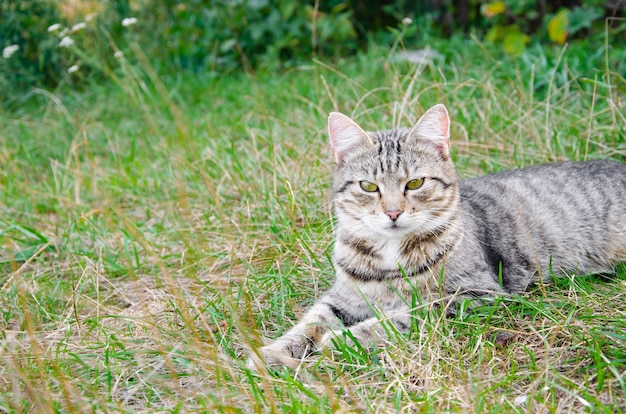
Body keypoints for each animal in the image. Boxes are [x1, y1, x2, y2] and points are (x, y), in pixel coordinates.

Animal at [247, 103, 624, 368]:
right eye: (368, 186)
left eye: (415, 183)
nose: (393, 212)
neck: (390, 254)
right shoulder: (341, 299)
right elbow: (310, 323)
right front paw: (271, 352)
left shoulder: (476, 293)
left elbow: (400, 315)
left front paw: (344, 340)